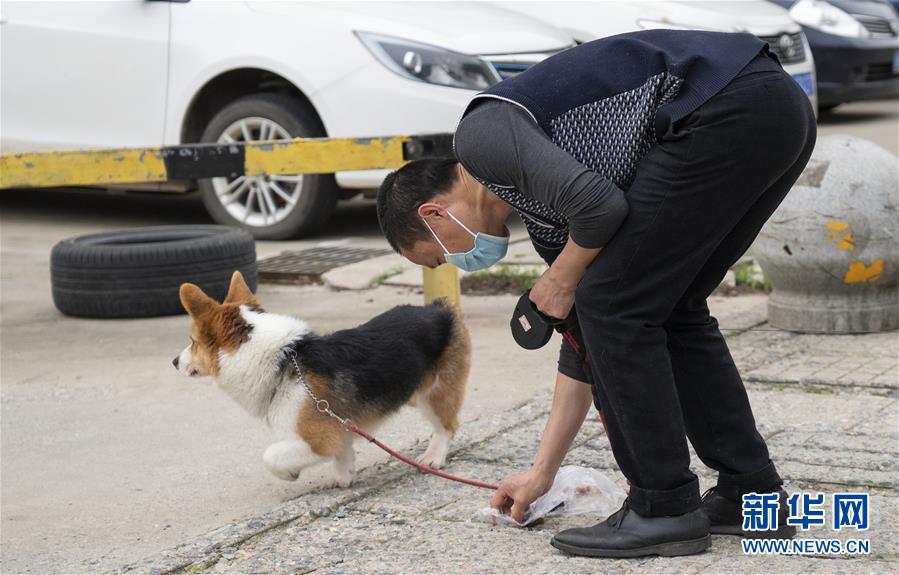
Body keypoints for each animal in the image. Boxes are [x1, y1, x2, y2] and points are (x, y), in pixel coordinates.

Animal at [172, 272, 474, 488]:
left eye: (193, 342)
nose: (174, 362)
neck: (282, 360)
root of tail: (440, 308)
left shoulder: (318, 441)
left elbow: (271, 456)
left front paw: (290, 473)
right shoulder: (340, 429)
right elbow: (343, 454)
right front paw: (343, 478)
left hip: (434, 395)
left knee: (447, 426)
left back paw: (433, 457)